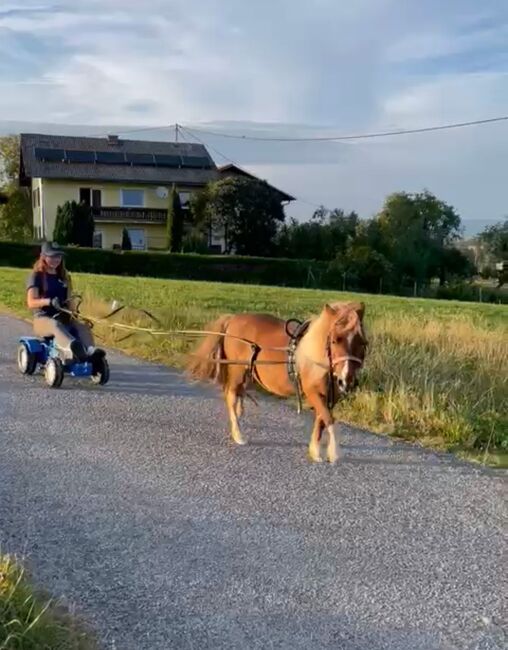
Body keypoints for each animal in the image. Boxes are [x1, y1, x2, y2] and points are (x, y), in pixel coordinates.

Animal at [185, 300, 368, 460]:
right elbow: (328, 419)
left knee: (238, 394)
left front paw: (315, 451)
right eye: (335, 340)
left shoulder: (331, 396)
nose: (347, 380)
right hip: (237, 370)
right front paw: (334, 453)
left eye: (362, 342)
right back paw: (238, 435)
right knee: (231, 396)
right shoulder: (312, 392)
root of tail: (233, 319)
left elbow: (321, 420)